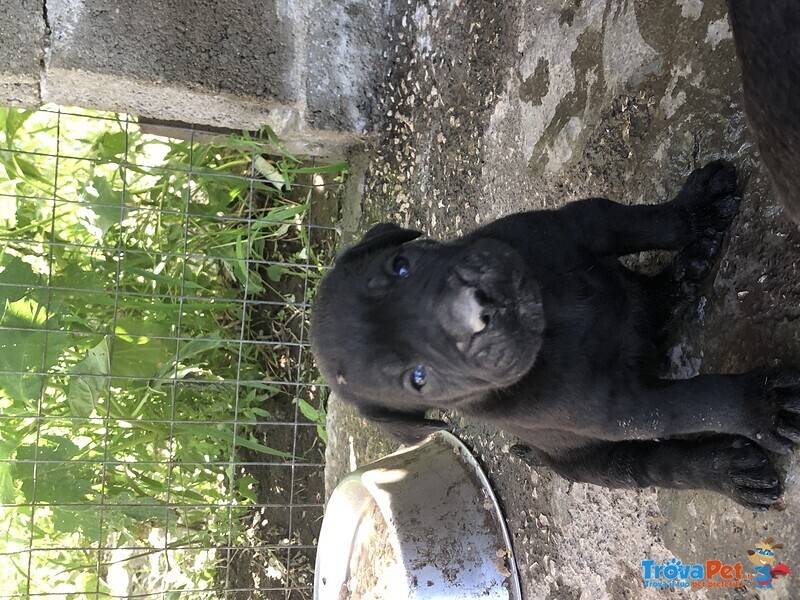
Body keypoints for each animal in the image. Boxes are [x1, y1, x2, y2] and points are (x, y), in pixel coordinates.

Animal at [310, 162, 800, 508]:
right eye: (417, 378)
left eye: (401, 266)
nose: (475, 311)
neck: (554, 319)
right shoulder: (624, 408)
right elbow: (699, 403)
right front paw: (763, 406)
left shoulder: (575, 225)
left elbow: (644, 222)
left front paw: (695, 211)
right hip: (594, 463)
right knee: (656, 465)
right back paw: (729, 471)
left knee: (651, 302)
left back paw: (686, 269)